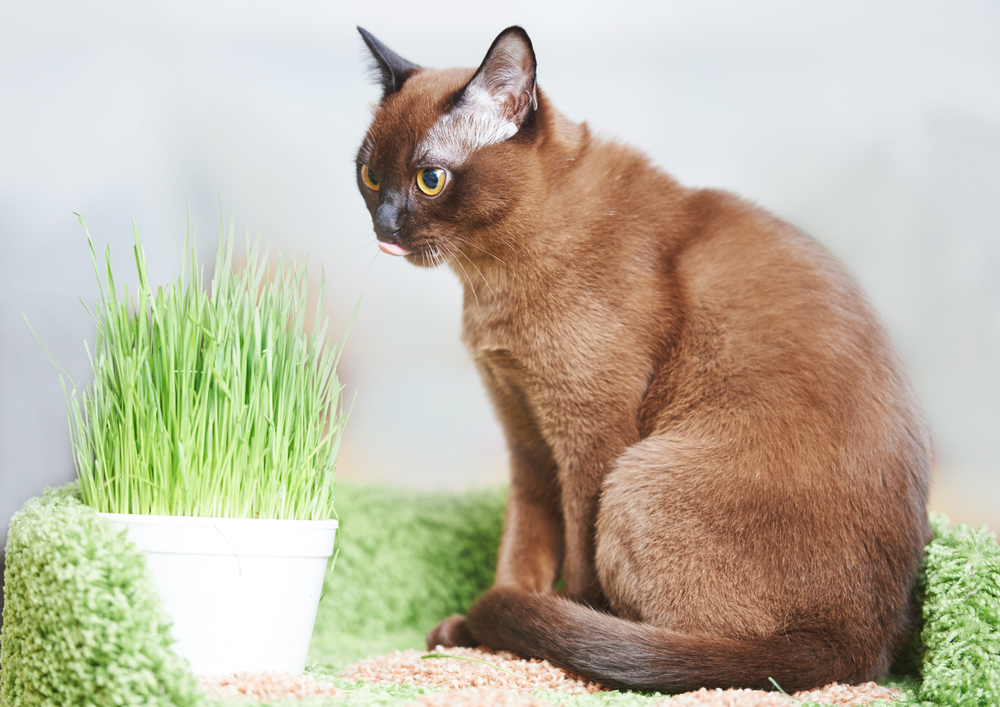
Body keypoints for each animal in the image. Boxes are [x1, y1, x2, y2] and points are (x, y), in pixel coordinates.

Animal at [356, 26, 932, 692]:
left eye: (430, 179)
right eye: (369, 176)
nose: (384, 227)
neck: (490, 278)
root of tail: (857, 648)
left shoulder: (588, 439)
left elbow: (575, 564)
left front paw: (513, 630)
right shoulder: (528, 441)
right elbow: (520, 552)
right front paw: (484, 637)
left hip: (634, 480)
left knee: (678, 645)